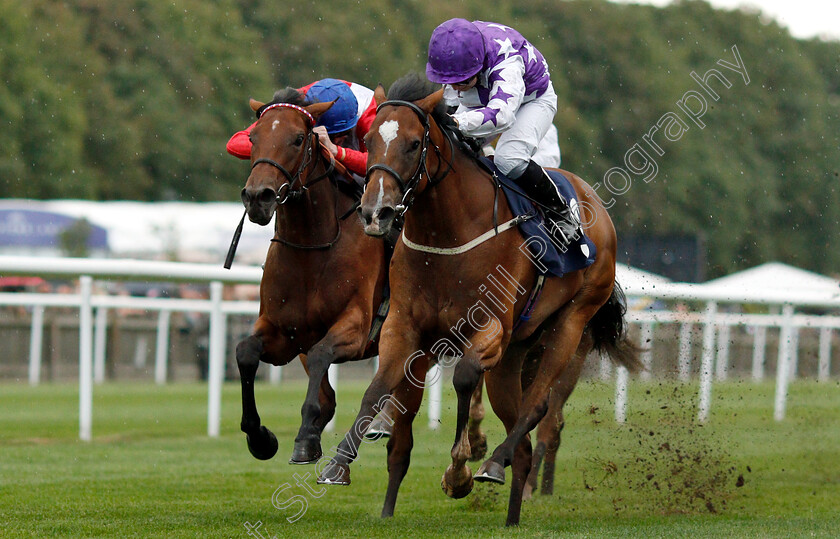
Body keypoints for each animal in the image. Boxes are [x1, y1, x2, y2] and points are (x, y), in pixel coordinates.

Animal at [235, 90, 388, 466]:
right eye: (253, 138)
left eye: (297, 139)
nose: (257, 197)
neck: (311, 248)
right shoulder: (285, 332)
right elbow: (245, 351)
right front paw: (261, 438)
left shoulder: (356, 327)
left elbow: (322, 355)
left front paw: (304, 436)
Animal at [318, 75, 640, 528]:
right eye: (368, 140)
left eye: (414, 144)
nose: (375, 213)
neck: (448, 234)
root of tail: (593, 200)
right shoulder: (404, 325)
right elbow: (377, 388)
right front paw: (338, 464)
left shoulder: (488, 327)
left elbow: (465, 378)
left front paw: (459, 471)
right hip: (515, 350)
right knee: (521, 435)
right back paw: (511, 513)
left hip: (570, 324)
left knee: (538, 406)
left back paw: (492, 463)